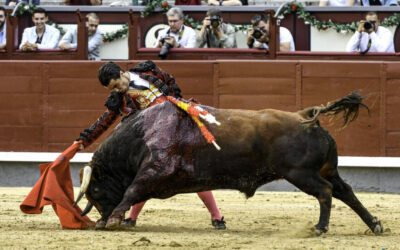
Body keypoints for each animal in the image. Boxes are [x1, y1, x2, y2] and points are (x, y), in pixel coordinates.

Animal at [75, 91, 384, 235]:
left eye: (96, 192)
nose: (98, 221)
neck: (143, 134)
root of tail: (306, 116)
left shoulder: (155, 170)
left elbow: (132, 191)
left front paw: (114, 220)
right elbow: (137, 195)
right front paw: (119, 221)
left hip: (301, 174)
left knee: (325, 193)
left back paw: (320, 228)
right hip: (328, 170)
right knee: (346, 192)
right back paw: (375, 225)